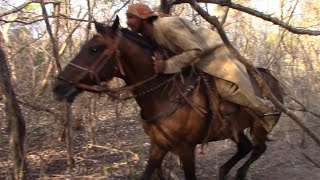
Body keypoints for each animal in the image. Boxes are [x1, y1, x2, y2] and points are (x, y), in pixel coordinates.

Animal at [53, 16, 284, 179]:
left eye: (94, 49)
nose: (58, 86)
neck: (163, 94)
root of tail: (273, 77)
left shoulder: (186, 149)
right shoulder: (158, 146)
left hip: (258, 127)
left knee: (258, 148)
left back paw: (239, 171)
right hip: (233, 129)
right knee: (245, 148)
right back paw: (224, 171)